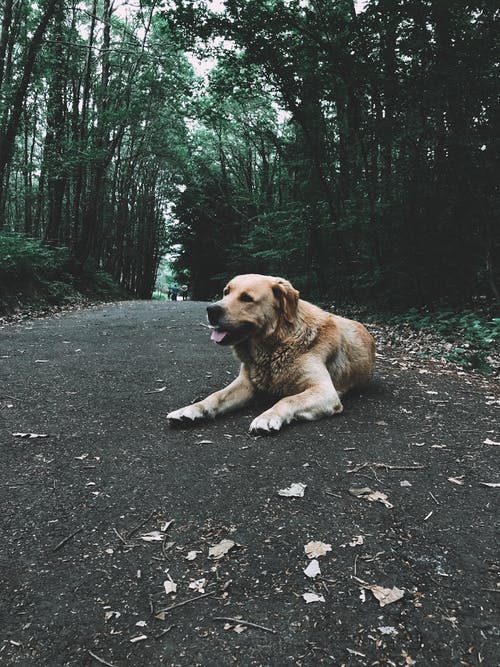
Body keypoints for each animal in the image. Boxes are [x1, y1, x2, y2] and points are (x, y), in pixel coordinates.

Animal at [168, 274, 376, 436]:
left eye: (246, 298)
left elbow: (287, 399)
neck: (275, 346)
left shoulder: (325, 391)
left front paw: (267, 417)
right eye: (226, 292)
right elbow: (215, 396)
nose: (211, 310)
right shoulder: (246, 383)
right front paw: (192, 409)